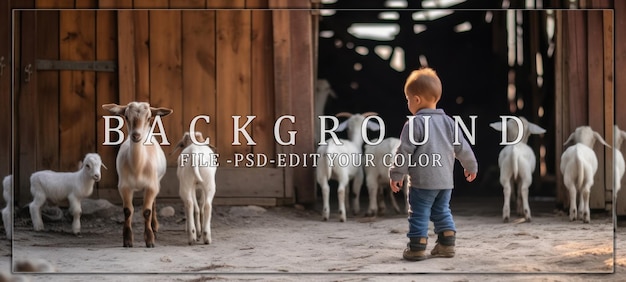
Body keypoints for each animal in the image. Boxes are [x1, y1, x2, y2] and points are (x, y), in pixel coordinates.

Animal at [102, 101, 172, 247]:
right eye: (126, 116)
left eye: (149, 117)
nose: (136, 135)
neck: (138, 167)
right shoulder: (124, 187)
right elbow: (128, 211)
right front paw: (128, 240)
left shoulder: (151, 186)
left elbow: (147, 211)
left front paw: (150, 239)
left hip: (157, 181)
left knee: (153, 204)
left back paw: (154, 227)